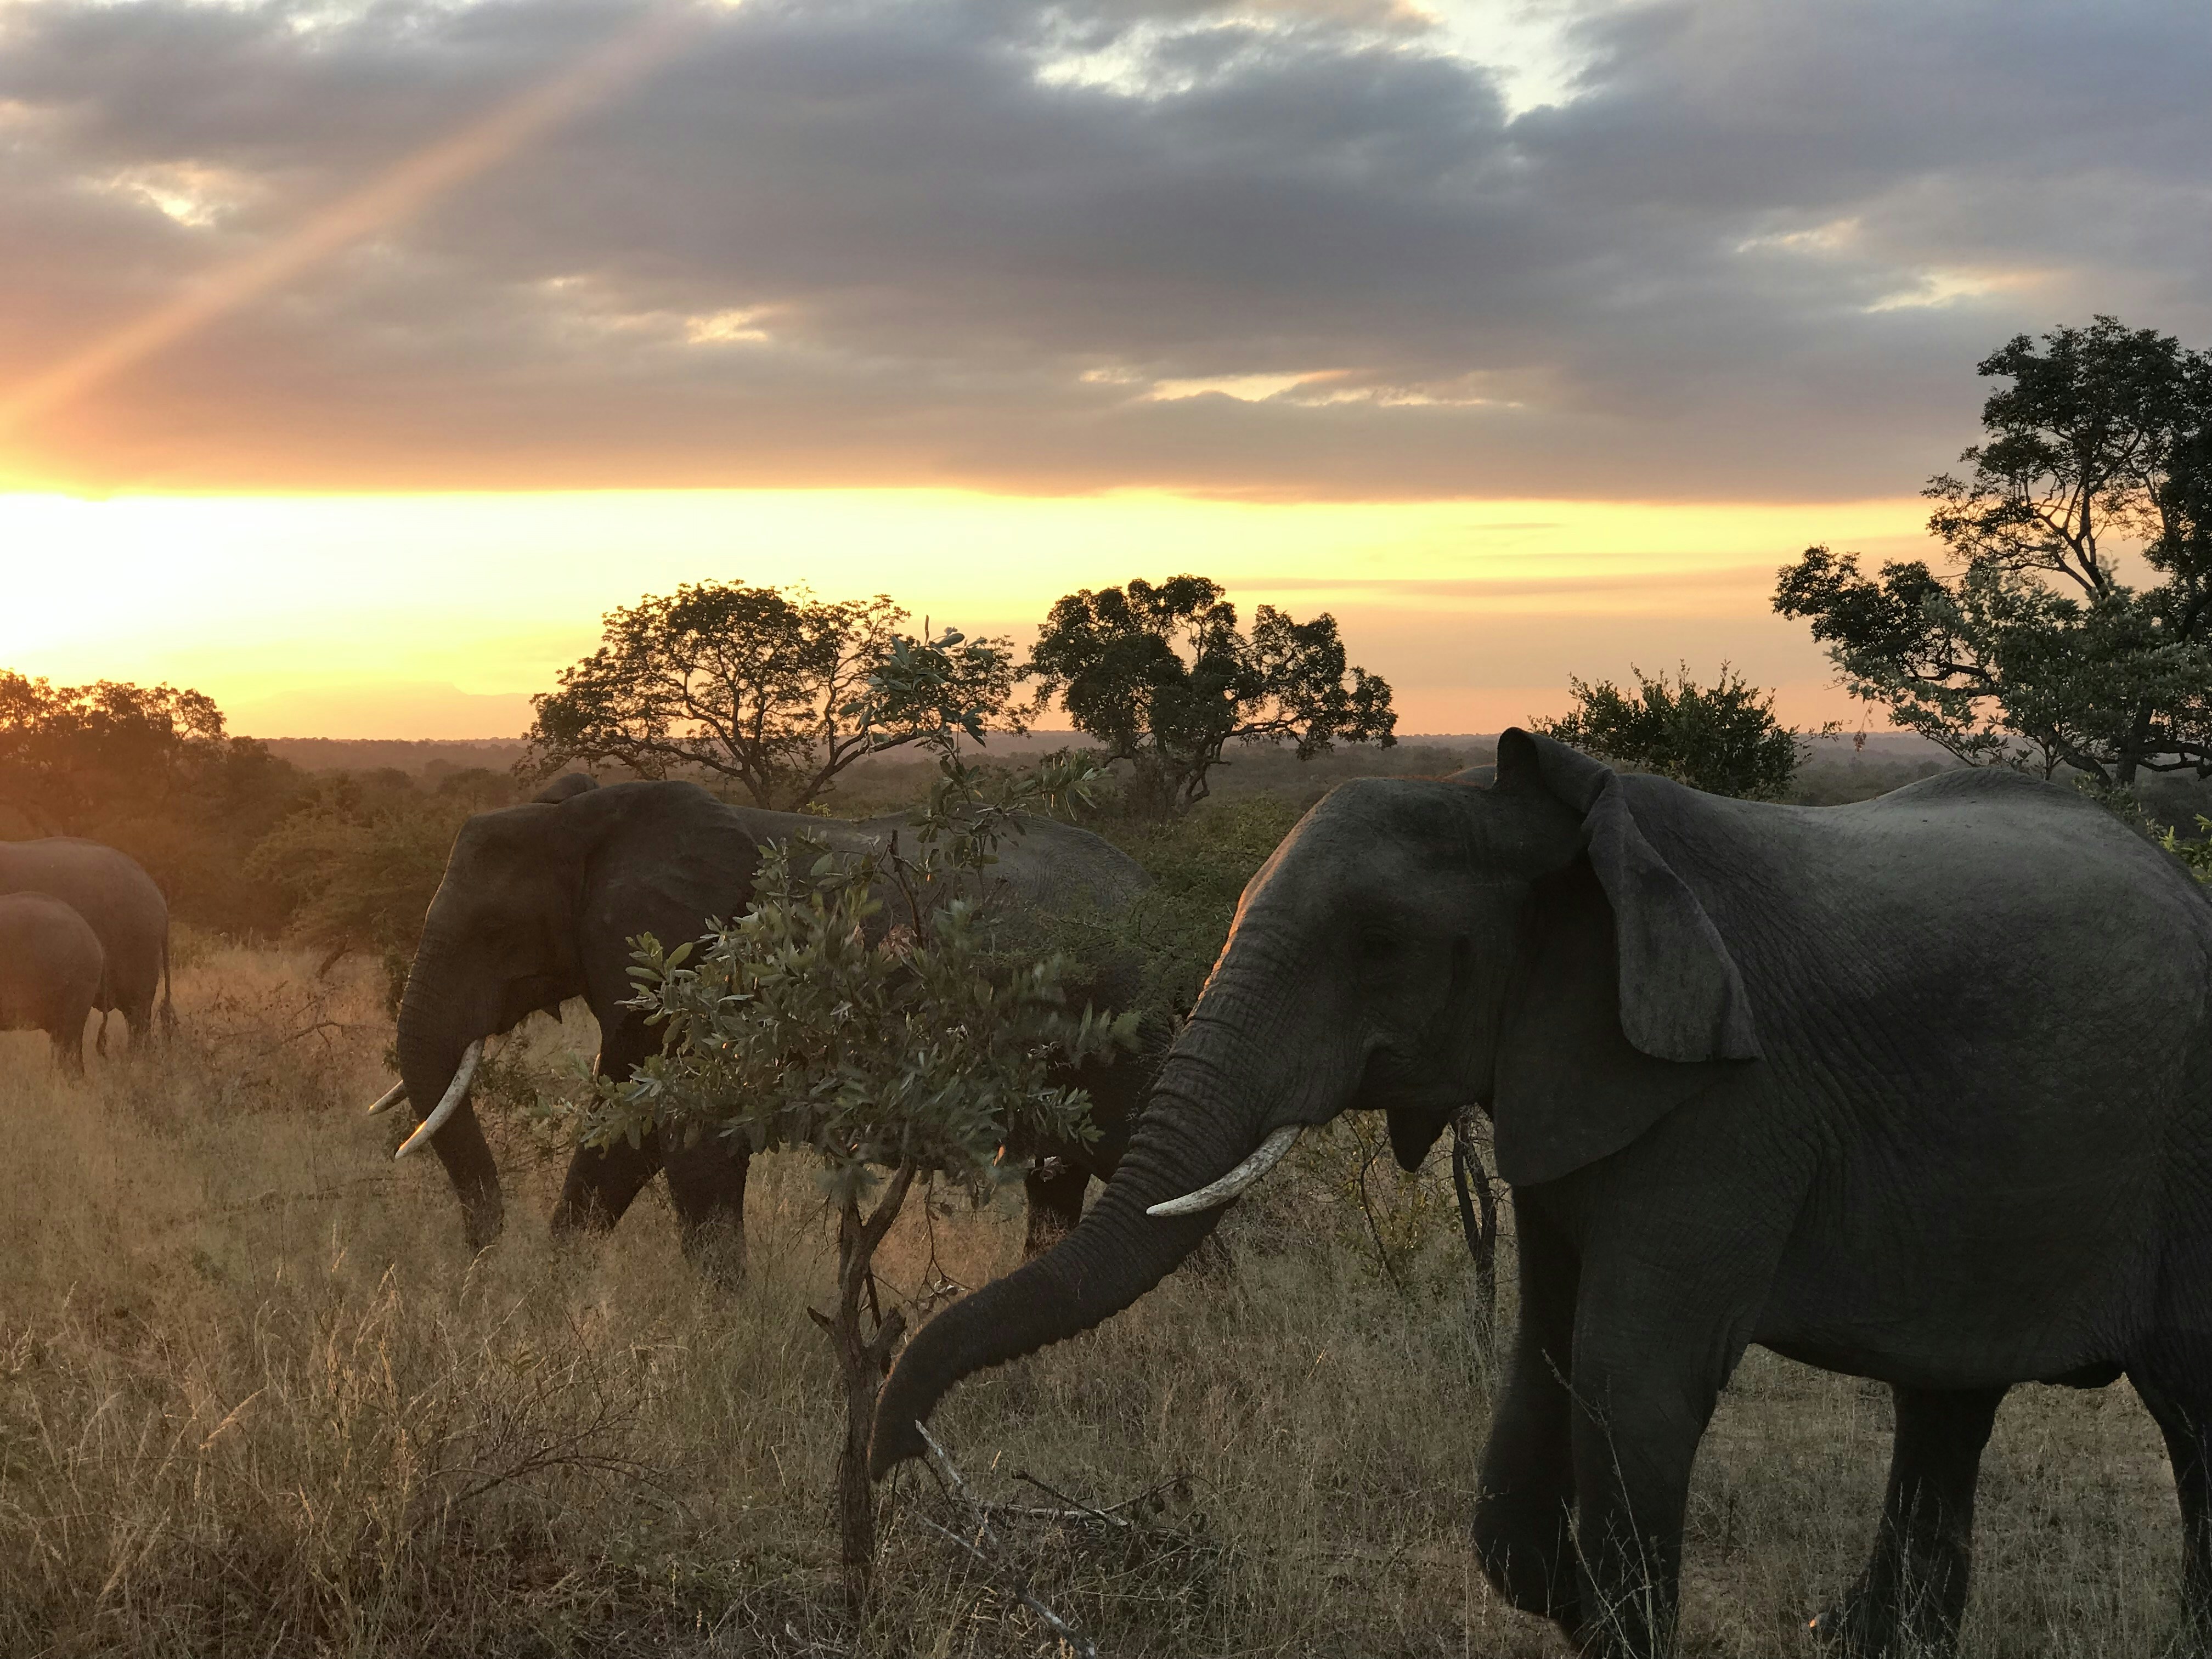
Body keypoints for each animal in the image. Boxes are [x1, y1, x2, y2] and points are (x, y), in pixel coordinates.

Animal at [366, 773, 1154, 1277]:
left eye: (495, 932)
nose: (487, 1253)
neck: (587, 817)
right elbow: (620, 1139)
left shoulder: (706, 965)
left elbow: (690, 1147)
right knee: (1056, 1188)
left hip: (1121, 1023)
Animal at [869, 728, 2212, 1659]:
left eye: (1380, 947)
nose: (888, 1463)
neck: (1563, 833)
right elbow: (1544, 1363)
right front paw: (1561, 1596)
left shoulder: (1731, 1104)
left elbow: (1630, 1379)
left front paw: (1612, 1619)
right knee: (1948, 1400)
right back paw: (1860, 1640)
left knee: (2190, 1409)